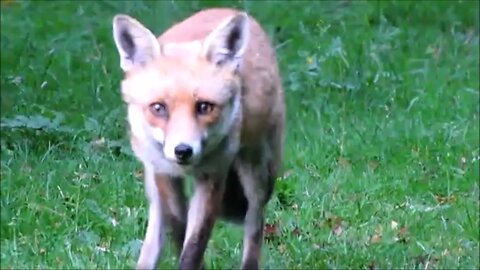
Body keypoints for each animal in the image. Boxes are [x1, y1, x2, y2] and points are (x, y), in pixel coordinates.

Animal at [112, 6, 284, 270]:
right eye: (158, 108)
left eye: (204, 107)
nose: (183, 150)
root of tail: (228, 8)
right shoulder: (163, 171)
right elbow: (179, 229)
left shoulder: (213, 175)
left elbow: (194, 243)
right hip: (152, 185)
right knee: (156, 232)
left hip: (259, 177)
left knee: (254, 226)